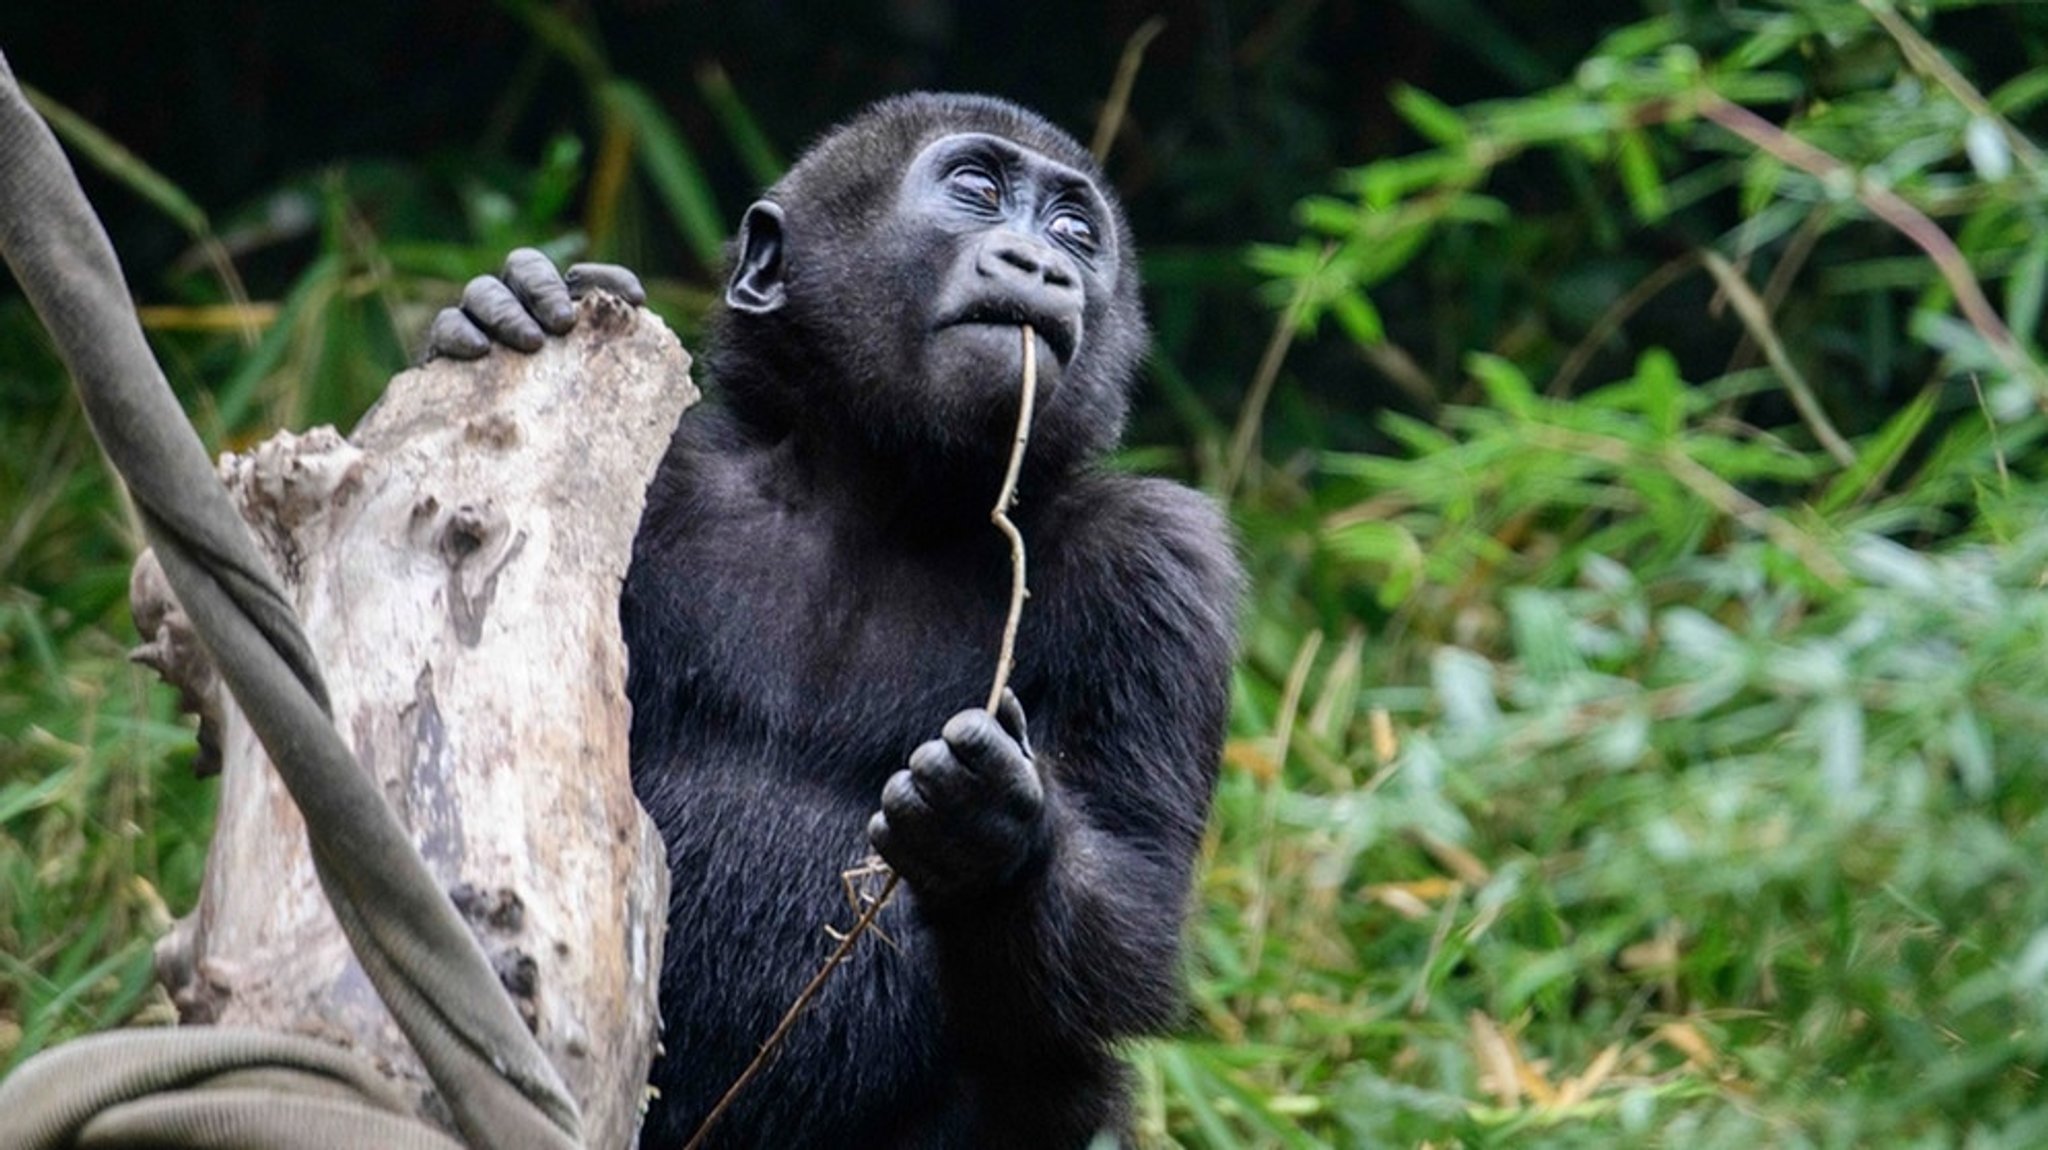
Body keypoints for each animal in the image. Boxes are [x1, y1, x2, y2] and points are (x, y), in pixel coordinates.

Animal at [425, 94, 1236, 1137]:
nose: (1043, 266)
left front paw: (993, 833)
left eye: (1074, 232)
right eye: (976, 192)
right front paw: (508, 305)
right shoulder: (666, 476)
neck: (882, 488)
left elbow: (1132, 917)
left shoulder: (1166, 564)